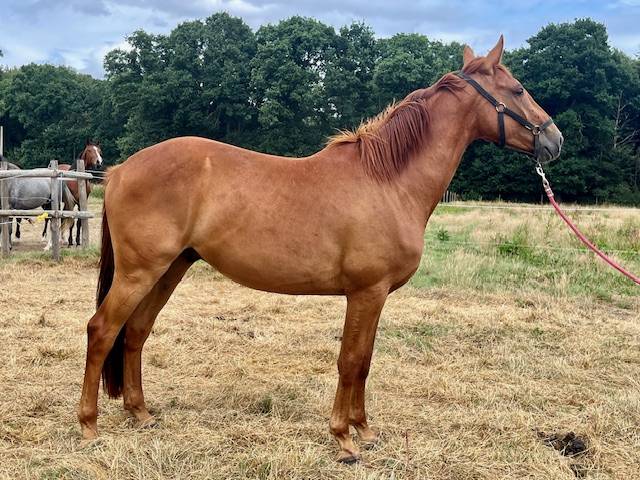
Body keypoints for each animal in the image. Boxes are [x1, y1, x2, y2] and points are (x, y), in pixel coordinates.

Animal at [78, 36, 563, 463]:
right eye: (518, 89)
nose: (555, 140)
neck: (388, 181)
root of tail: (121, 170)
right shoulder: (365, 292)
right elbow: (349, 361)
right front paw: (343, 440)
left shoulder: (377, 295)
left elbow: (365, 361)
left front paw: (365, 430)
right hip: (140, 271)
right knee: (102, 329)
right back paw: (89, 425)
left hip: (171, 268)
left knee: (136, 331)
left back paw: (141, 413)